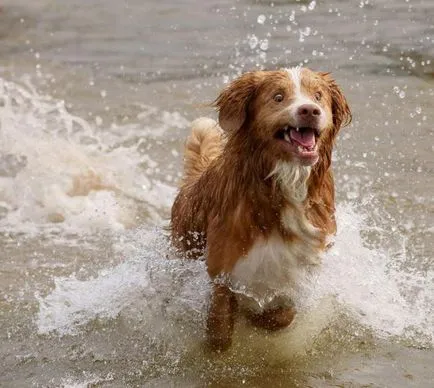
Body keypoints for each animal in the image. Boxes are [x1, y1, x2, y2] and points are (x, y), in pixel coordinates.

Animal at [170, 67, 350, 352]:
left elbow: (283, 313)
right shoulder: (223, 265)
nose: (310, 110)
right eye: (278, 97)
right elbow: (220, 320)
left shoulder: (301, 264)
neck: (284, 183)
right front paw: (223, 333)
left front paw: (261, 317)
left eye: (318, 96)